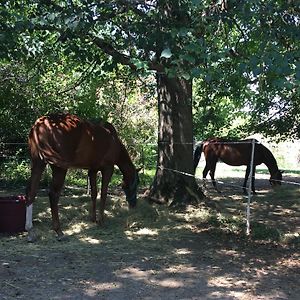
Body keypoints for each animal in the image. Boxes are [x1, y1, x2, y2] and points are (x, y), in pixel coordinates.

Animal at [25, 113, 138, 241]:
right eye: (135, 185)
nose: (133, 204)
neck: (113, 139)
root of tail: (41, 123)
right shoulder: (108, 169)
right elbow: (103, 193)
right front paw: (101, 221)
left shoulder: (92, 170)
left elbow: (94, 193)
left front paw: (93, 219)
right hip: (59, 168)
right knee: (53, 194)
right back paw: (59, 231)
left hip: (38, 164)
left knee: (31, 192)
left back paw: (30, 231)